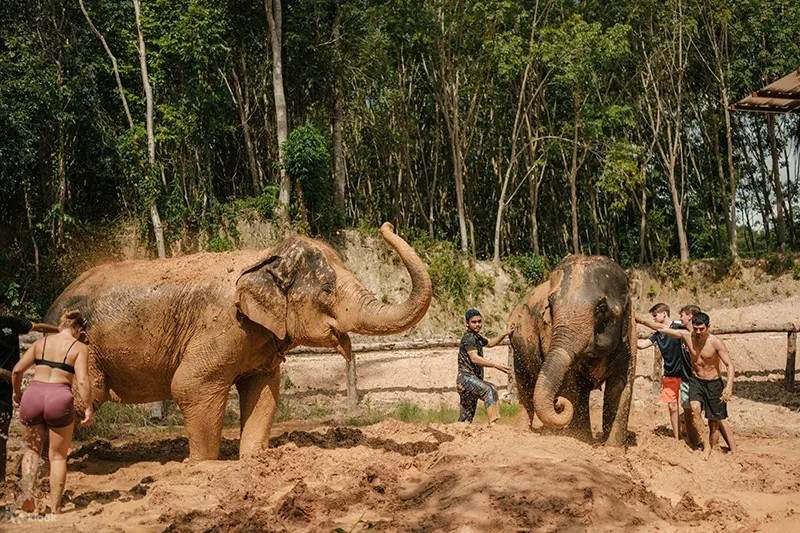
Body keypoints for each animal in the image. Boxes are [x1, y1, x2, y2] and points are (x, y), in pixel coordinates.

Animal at [45, 223, 432, 460]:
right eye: (326, 289)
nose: (386, 225)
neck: (263, 256)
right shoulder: (222, 326)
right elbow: (190, 385)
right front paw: (200, 465)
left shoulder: (258, 340)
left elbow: (264, 390)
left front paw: (254, 460)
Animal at [508, 255, 636, 446]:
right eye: (550, 305)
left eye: (601, 308)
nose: (558, 402)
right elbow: (573, 385)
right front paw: (580, 438)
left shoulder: (629, 338)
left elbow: (620, 386)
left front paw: (613, 448)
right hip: (518, 346)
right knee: (525, 384)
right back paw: (524, 430)